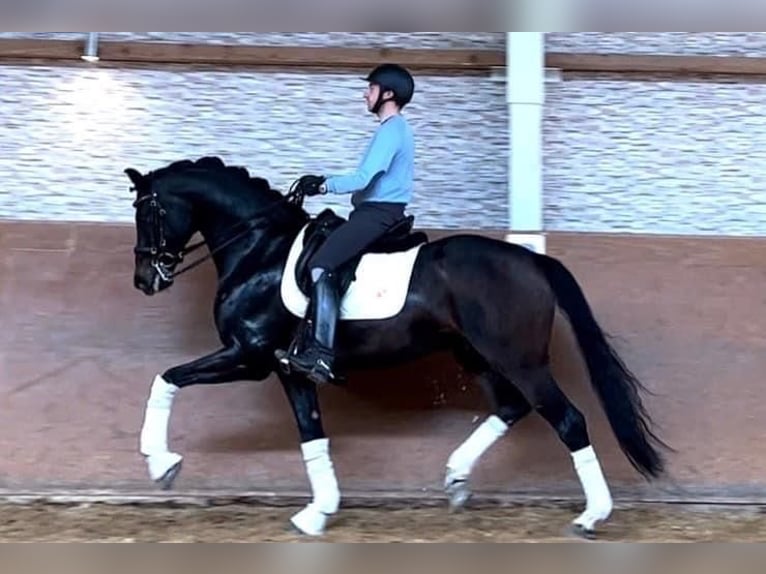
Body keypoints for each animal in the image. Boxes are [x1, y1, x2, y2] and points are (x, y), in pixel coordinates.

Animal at [124, 156, 664, 540]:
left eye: (147, 211)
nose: (145, 279)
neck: (261, 253)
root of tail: (531, 261)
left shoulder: (248, 356)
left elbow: (165, 378)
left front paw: (161, 464)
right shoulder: (290, 370)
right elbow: (312, 436)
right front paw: (317, 514)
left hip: (519, 360)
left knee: (568, 420)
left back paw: (592, 517)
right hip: (476, 355)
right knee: (511, 408)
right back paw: (456, 478)